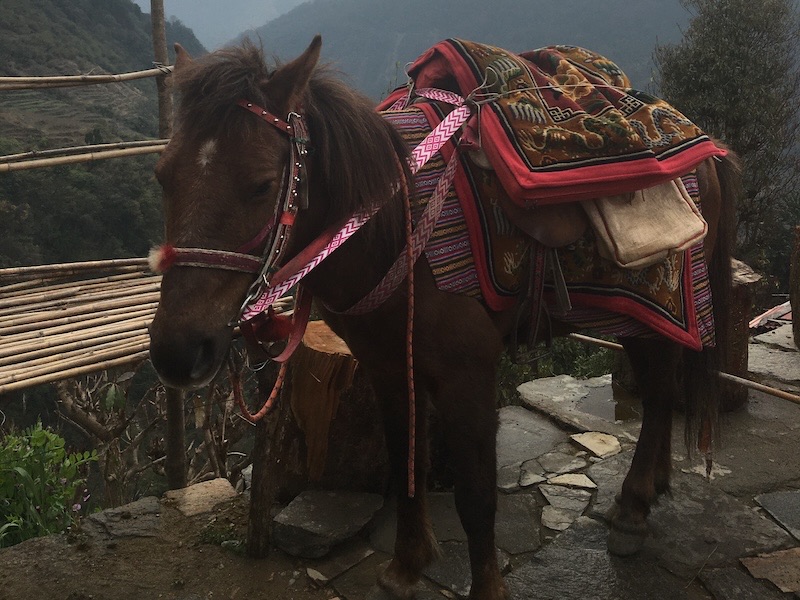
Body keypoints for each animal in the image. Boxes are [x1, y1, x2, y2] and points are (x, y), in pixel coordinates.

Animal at [148, 36, 739, 600]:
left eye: (262, 184)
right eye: (163, 177)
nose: (177, 350)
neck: (394, 224)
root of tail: (705, 146)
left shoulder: (467, 375)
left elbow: (476, 497)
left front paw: (486, 589)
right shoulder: (387, 365)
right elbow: (405, 459)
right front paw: (405, 566)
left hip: (658, 303)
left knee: (660, 392)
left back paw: (635, 508)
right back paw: (651, 487)